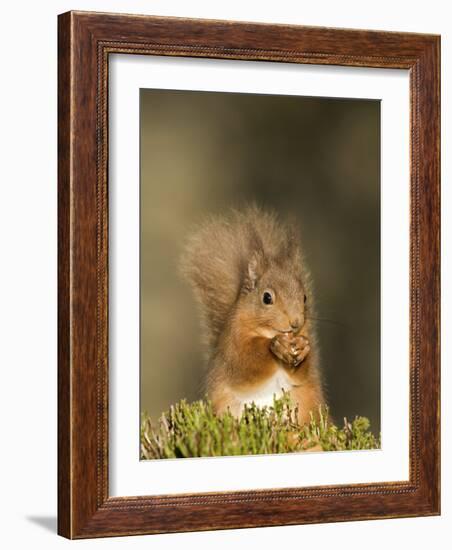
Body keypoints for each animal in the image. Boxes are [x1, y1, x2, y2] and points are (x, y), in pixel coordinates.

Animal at [180, 207, 324, 426]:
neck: (266, 331)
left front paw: (302, 347)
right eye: (267, 297)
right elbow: (246, 365)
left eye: (305, 297)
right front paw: (274, 345)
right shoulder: (233, 347)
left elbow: (302, 375)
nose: (296, 323)